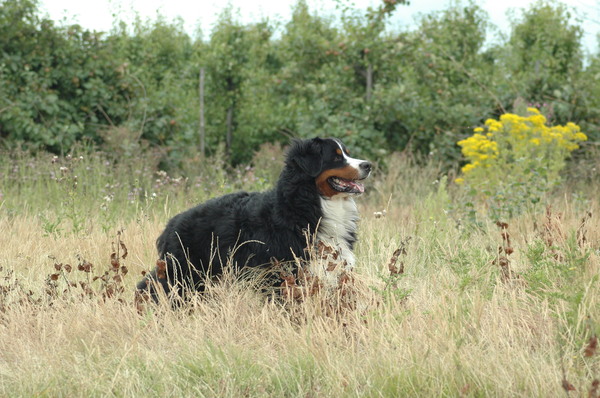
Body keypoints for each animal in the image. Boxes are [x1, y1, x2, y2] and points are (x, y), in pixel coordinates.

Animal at [137, 138, 370, 302]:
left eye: (347, 154)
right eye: (337, 157)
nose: (368, 164)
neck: (308, 205)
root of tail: (171, 225)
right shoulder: (281, 274)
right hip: (183, 274)